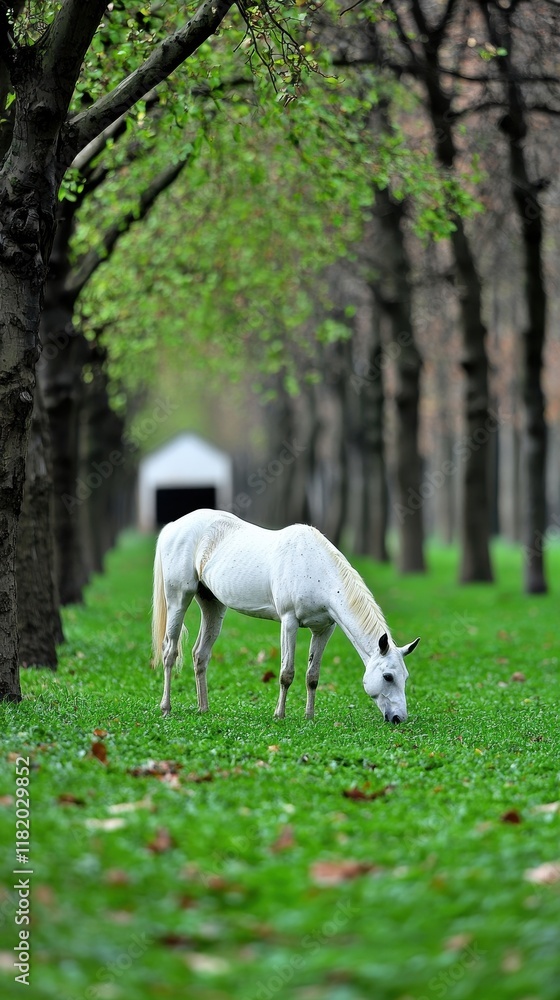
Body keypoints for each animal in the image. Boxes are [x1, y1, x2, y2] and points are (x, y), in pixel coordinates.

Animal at [152, 509, 420, 722]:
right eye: (387, 676)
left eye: (405, 677)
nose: (399, 718)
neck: (317, 568)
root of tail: (173, 527)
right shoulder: (289, 622)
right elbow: (286, 674)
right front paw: (279, 715)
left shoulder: (324, 629)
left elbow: (313, 676)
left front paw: (309, 716)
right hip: (179, 599)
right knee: (170, 652)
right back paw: (166, 708)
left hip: (212, 605)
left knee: (200, 655)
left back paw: (203, 708)